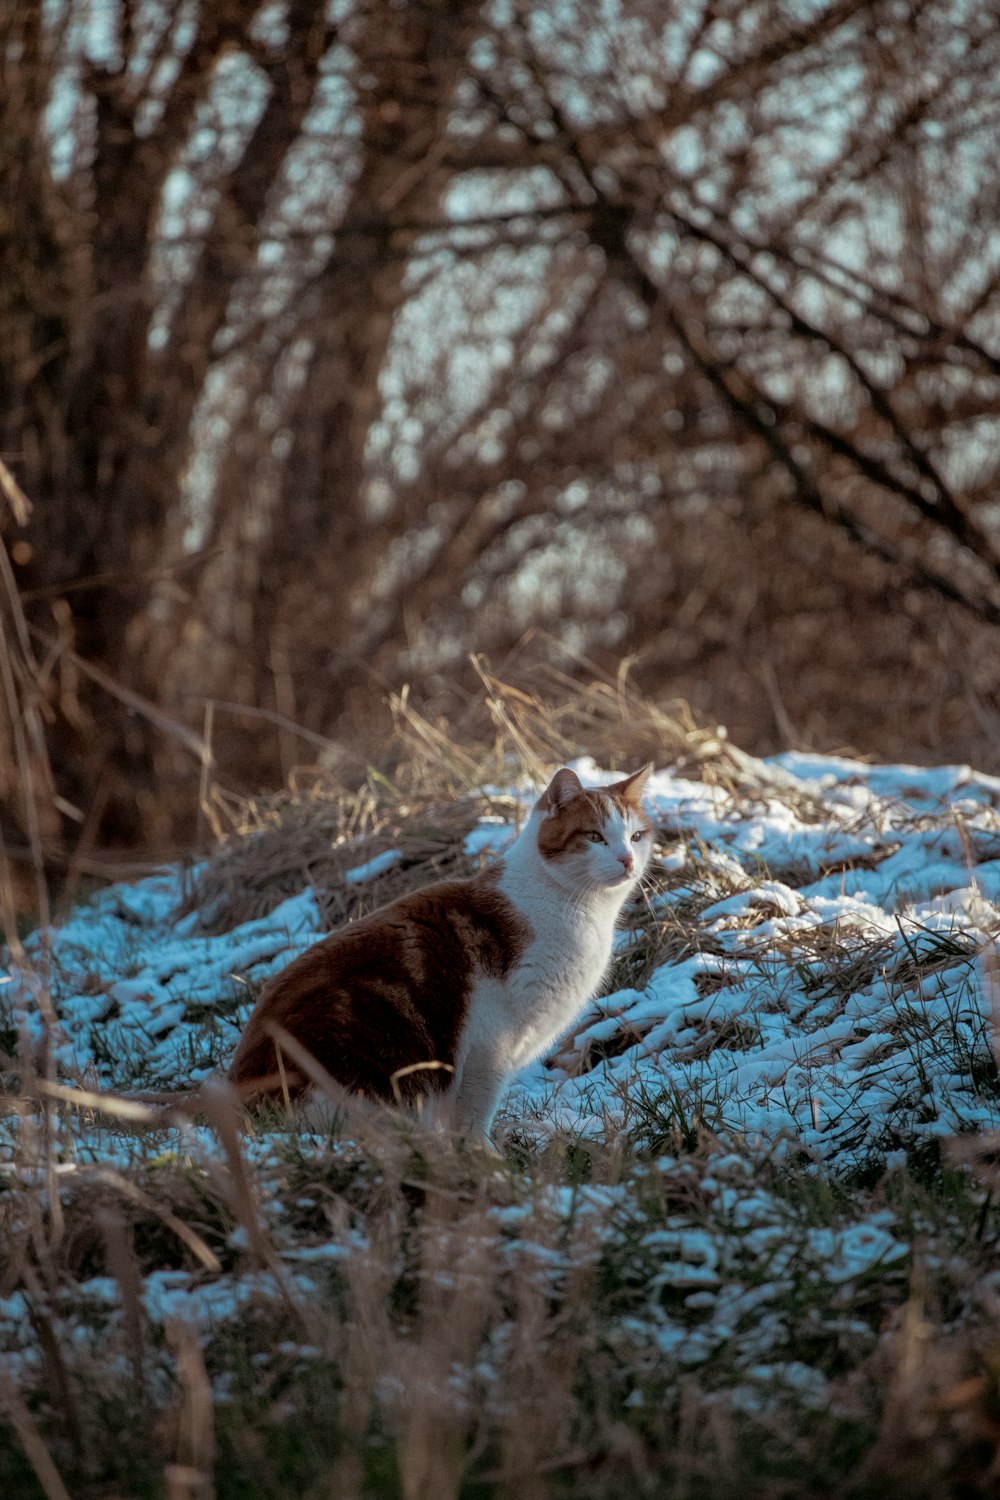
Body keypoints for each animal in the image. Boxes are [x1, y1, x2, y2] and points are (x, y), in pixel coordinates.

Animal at [226, 768, 653, 1140]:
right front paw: (486, 1160)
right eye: (595, 836)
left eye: (636, 836)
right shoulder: (489, 1047)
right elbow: (474, 1114)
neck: (575, 907)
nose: (627, 860)